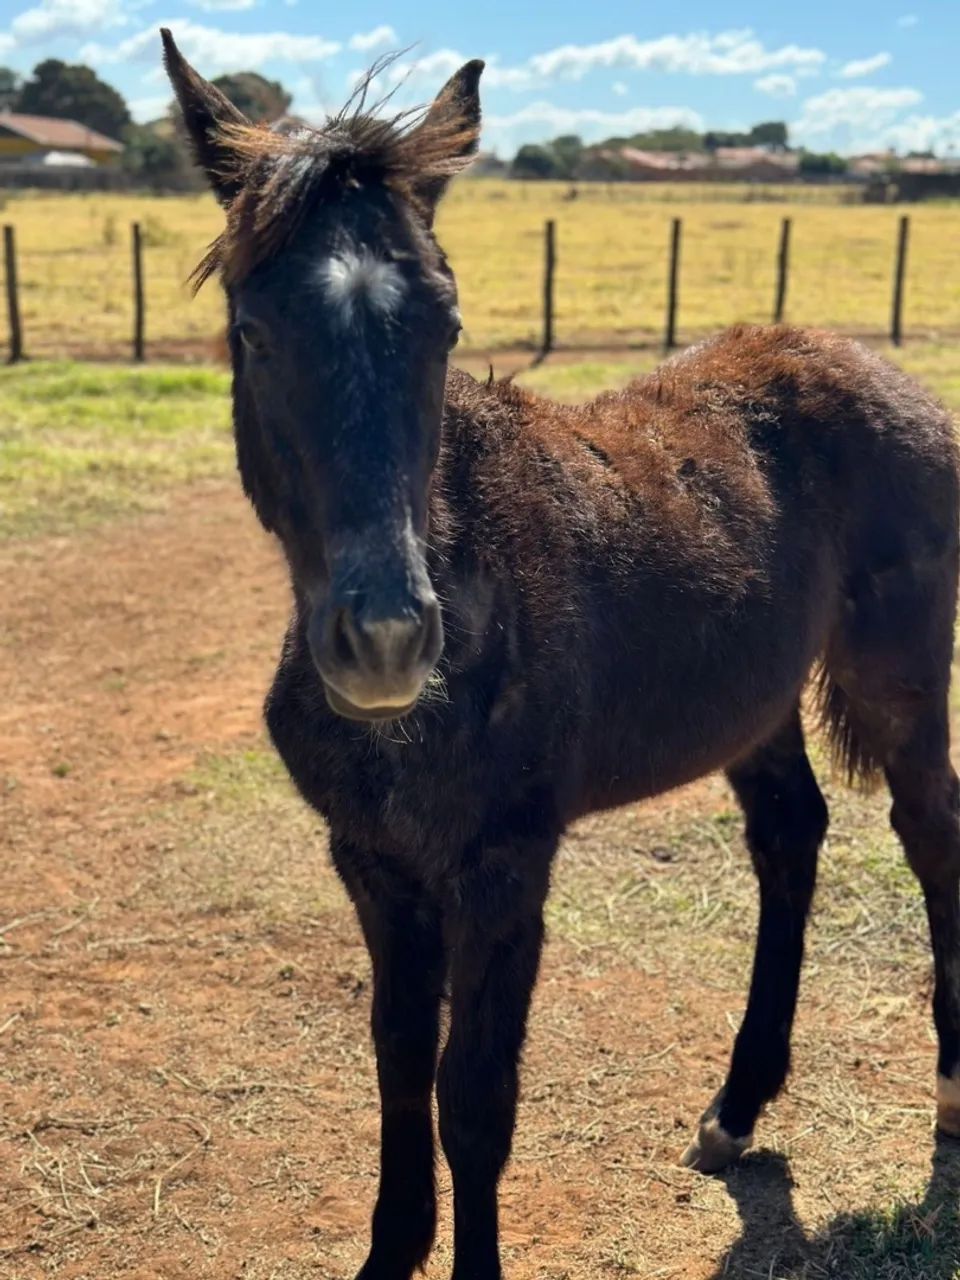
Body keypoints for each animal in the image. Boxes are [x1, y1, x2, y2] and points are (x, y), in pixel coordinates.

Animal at [162, 30, 960, 1280]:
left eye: (442, 325)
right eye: (253, 328)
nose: (386, 639)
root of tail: (883, 373)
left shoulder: (504, 866)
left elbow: (474, 1101)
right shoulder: (373, 862)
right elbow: (398, 1068)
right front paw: (389, 1251)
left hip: (902, 680)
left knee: (933, 833)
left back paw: (951, 1094)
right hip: (756, 701)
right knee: (792, 835)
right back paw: (736, 1108)